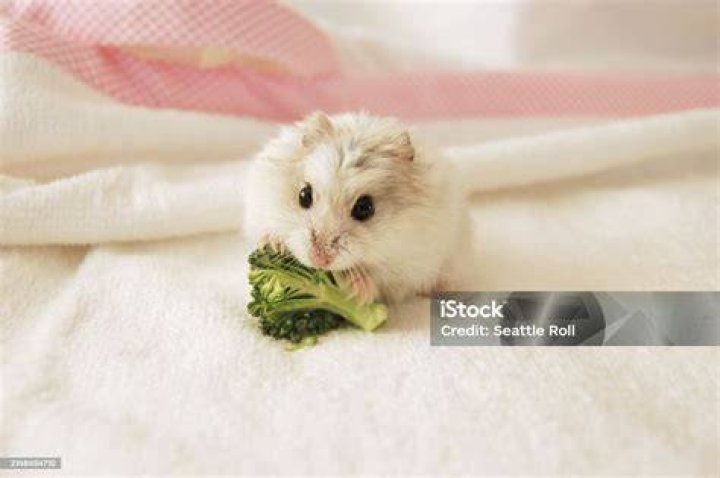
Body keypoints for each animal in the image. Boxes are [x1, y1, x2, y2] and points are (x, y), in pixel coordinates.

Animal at [244, 111, 470, 304]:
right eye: (303, 196)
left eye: (365, 208)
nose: (319, 260)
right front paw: (273, 243)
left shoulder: (410, 266)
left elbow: (379, 276)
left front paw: (357, 288)